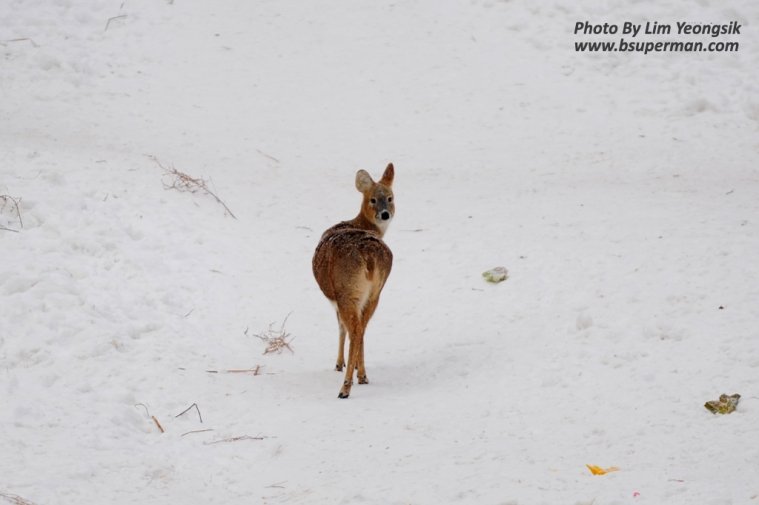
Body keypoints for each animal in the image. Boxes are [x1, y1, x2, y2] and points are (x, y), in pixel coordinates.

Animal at [314, 162, 398, 398]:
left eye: (390, 197)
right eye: (373, 199)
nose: (385, 214)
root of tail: (368, 255)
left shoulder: (335, 298)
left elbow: (341, 327)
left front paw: (338, 364)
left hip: (347, 290)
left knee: (354, 328)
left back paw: (345, 386)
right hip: (375, 292)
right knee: (362, 328)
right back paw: (362, 376)